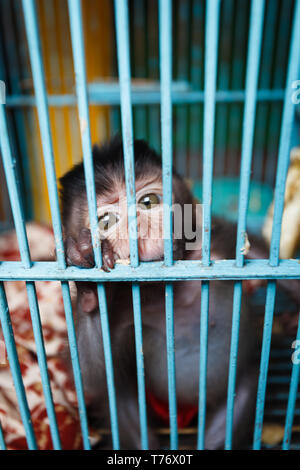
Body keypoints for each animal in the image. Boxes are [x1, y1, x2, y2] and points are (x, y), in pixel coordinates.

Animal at [59, 138, 296, 450]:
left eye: (148, 202)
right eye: (107, 222)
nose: (137, 225)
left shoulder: (216, 238)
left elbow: (260, 254)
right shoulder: (122, 302)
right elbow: (95, 375)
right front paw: (88, 274)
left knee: (243, 394)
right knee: (120, 400)